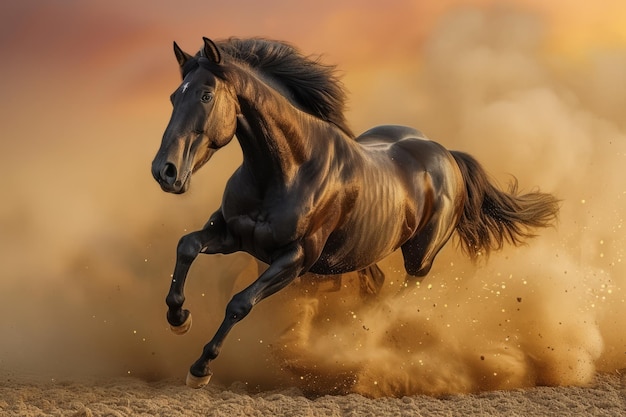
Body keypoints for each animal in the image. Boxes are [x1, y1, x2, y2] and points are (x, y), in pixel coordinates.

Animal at [150, 36, 556, 386]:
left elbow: (240, 302)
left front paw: (200, 368)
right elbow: (187, 247)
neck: (286, 171)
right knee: (376, 286)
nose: (164, 171)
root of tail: (446, 154)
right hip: (365, 255)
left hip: (420, 258)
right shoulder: (231, 234)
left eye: (205, 95)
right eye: (172, 97)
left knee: (398, 300)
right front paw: (178, 318)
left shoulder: (296, 259)